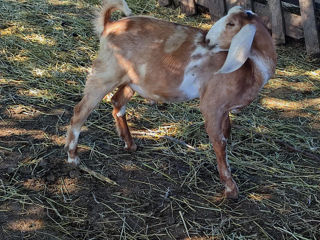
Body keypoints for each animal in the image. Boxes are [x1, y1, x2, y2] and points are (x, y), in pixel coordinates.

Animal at [64, 0, 276, 199]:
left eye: (231, 23)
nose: (207, 39)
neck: (251, 67)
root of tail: (109, 25)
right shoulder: (212, 105)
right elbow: (220, 143)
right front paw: (231, 189)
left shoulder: (223, 110)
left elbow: (227, 132)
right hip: (106, 73)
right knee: (80, 111)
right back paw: (73, 158)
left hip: (131, 80)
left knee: (117, 102)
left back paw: (130, 144)